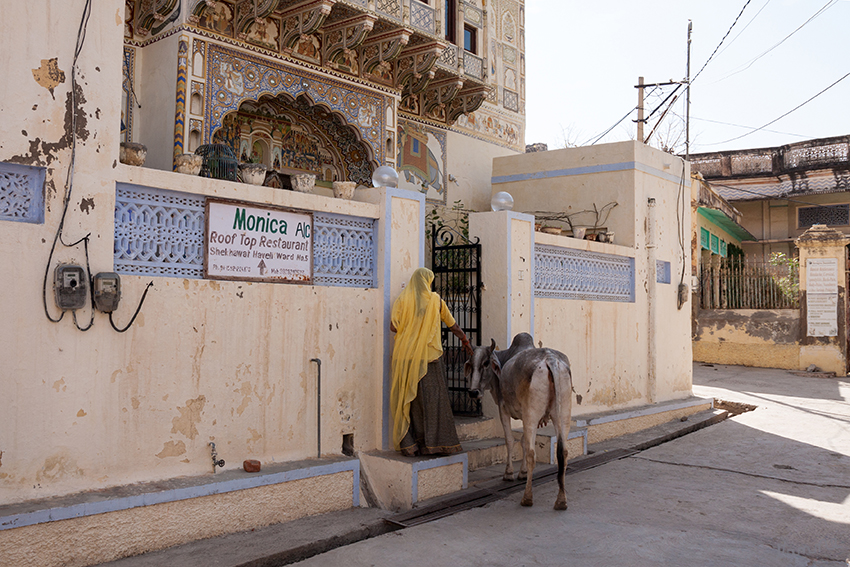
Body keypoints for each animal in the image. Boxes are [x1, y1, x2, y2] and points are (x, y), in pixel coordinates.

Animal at [464, 332, 568, 510]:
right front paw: (523, 472)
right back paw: (561, 501)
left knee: (532, 454)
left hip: (532, 414)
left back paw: (527, 498)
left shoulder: (504, 410)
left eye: (486, 363)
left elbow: (510, 441)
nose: (473, 392)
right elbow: (523, 442)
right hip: (562, 415)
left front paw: (509, 473)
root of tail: (550, 358)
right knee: (563, 451)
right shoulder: (525, 417)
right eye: (470, 364)